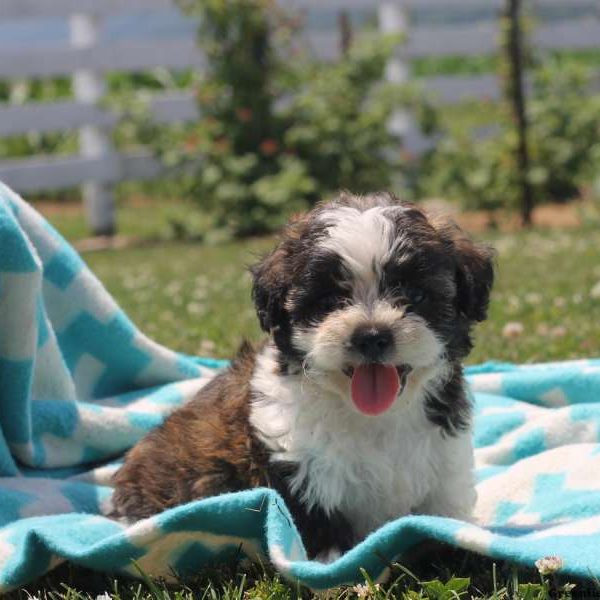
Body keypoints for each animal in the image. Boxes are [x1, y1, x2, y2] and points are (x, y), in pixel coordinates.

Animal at [111, 192, 492, 556]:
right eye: (328, 302)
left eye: (414, 293)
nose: (371, 335)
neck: (374, 415)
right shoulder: (298, 467)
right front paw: (330, 559)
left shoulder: (443, 458)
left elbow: (441, 513)